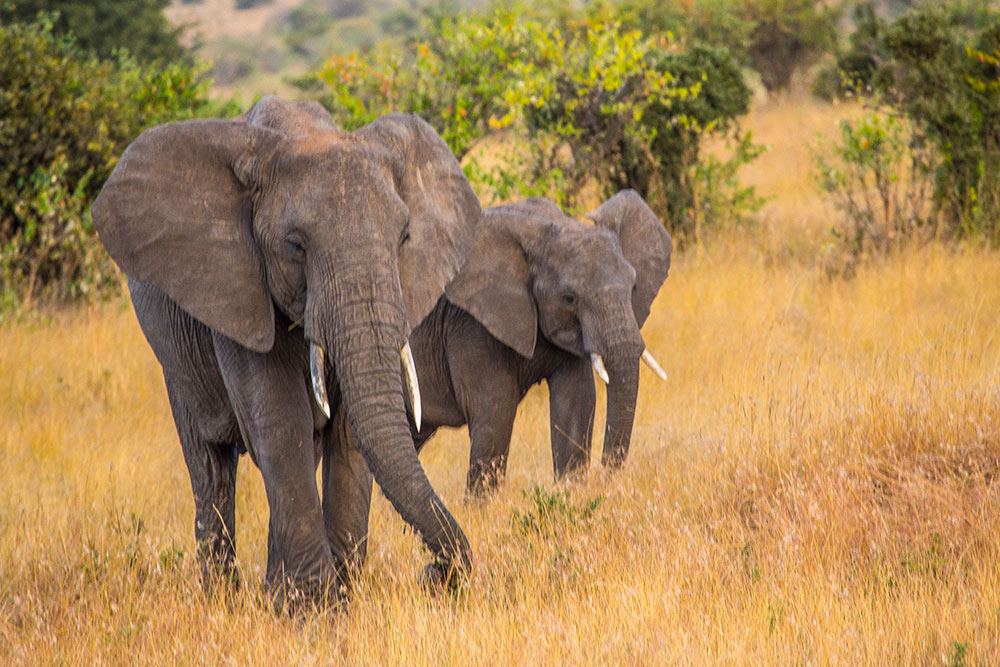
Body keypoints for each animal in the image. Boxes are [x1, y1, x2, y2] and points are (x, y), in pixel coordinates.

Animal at [91, 96, 481, 604]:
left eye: (404, 239)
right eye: (295, 245)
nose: (434, 573)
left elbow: (348, 431)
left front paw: (332, 598)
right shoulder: (238, 288)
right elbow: (279, 419)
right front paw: (314, 606)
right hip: (175, 361)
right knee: (210, 467)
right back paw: (224, 601)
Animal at [404, 191, 672, 495]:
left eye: (634, 287)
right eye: (569, 298)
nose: (606, 475)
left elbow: (576, 403)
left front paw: (570, 494)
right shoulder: (471, 324)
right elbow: (495, 412)